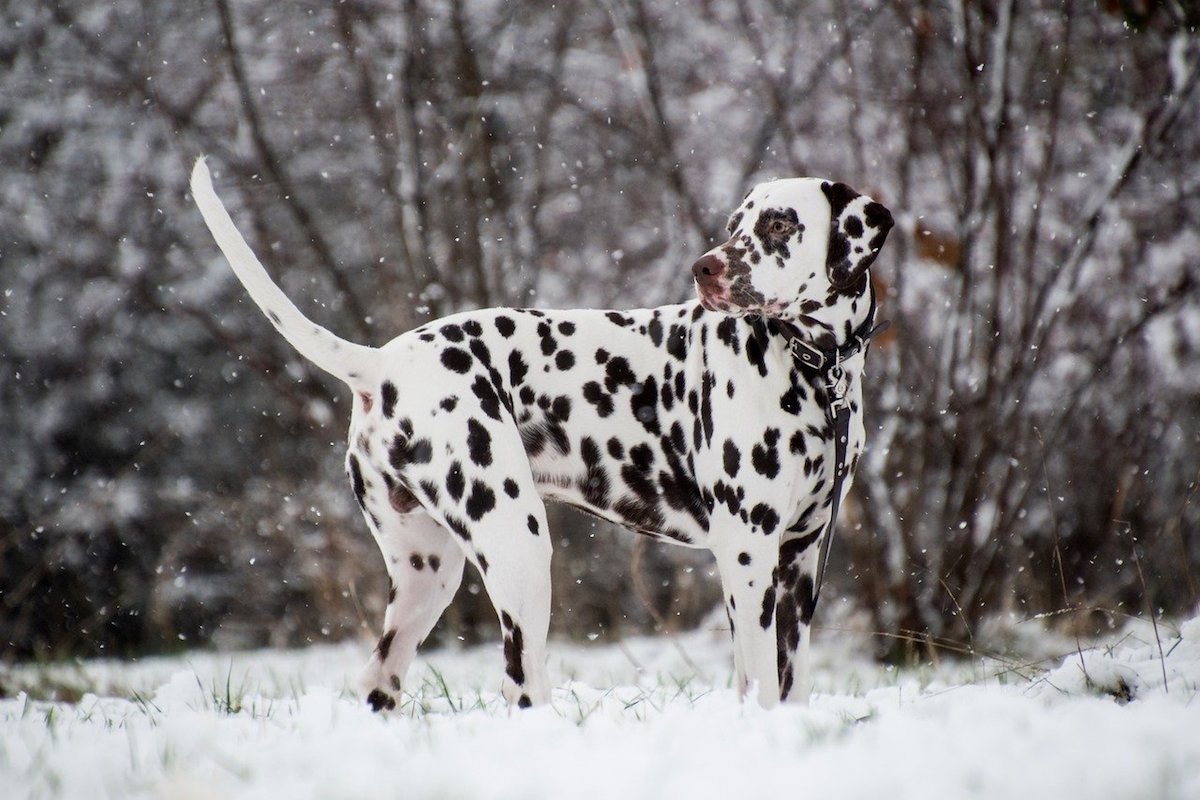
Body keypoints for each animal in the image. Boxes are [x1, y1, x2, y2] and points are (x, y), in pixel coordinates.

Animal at [189, 159, 892, 710]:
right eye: (733, 226)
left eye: (778, 224)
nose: (705, 268)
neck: (813, 366)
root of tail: (382, 362)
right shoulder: (747, 552)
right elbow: (761, 683)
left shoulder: (799, 561)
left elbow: (786, 681)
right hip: (519, 548)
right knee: (521, 684)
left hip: (427, 577)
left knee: (377, 682)